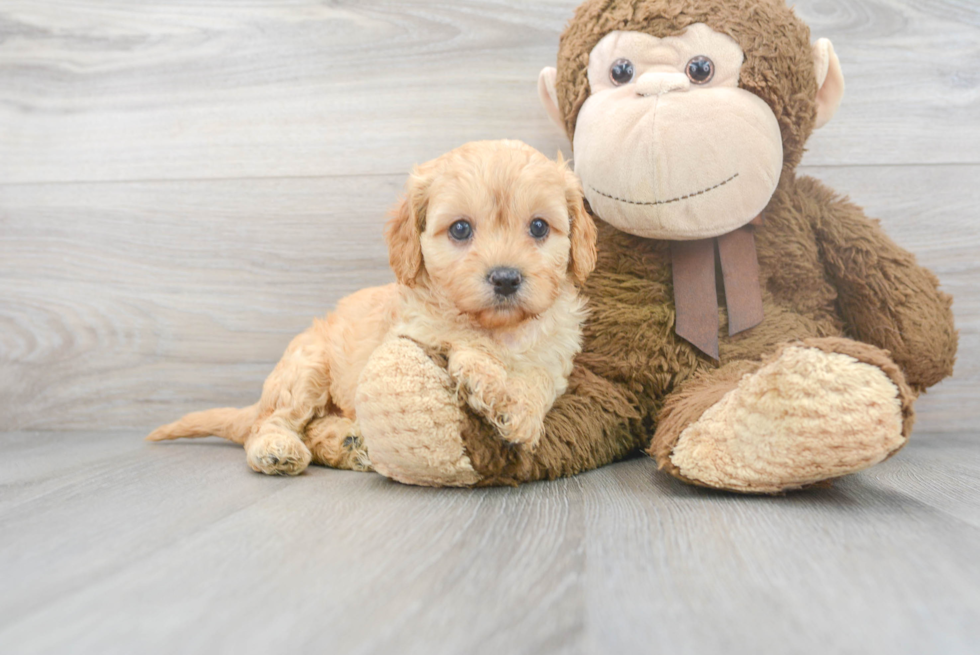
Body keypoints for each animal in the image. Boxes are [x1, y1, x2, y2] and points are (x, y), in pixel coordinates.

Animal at [147, 140, 596, 476]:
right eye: (460, 229)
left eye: (538, 226)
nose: (505, 278)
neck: (501, 329)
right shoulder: (412, 332)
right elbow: (459, 343)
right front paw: (489, 380)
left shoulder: (555, 358)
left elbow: (538, 380)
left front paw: (517, 411)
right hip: (305, 368)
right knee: (272, 421)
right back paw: (278, 448)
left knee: (314, 428)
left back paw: (346, 442)